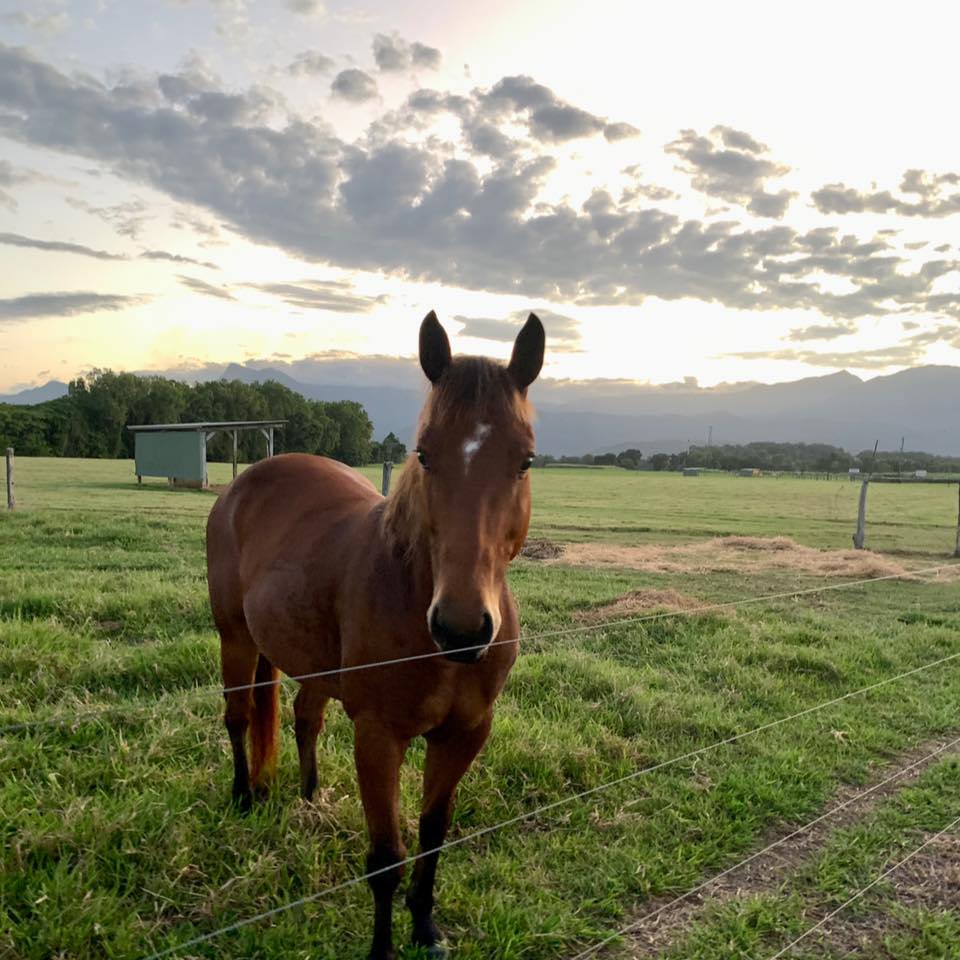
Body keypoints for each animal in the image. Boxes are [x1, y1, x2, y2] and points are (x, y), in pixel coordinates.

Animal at [206, 311, 545, 959]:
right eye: (425, 454)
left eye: (526, 461)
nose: (462, 627)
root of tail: (243, 483)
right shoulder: (379, 736)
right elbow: (386, 857)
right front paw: (384, 948)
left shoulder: (464, 734)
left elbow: (433, 832)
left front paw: (425, 927)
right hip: (234, 637)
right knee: (238, 716)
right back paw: (241, 797)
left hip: (308, 658)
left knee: (304, 717)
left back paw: (310, 798)